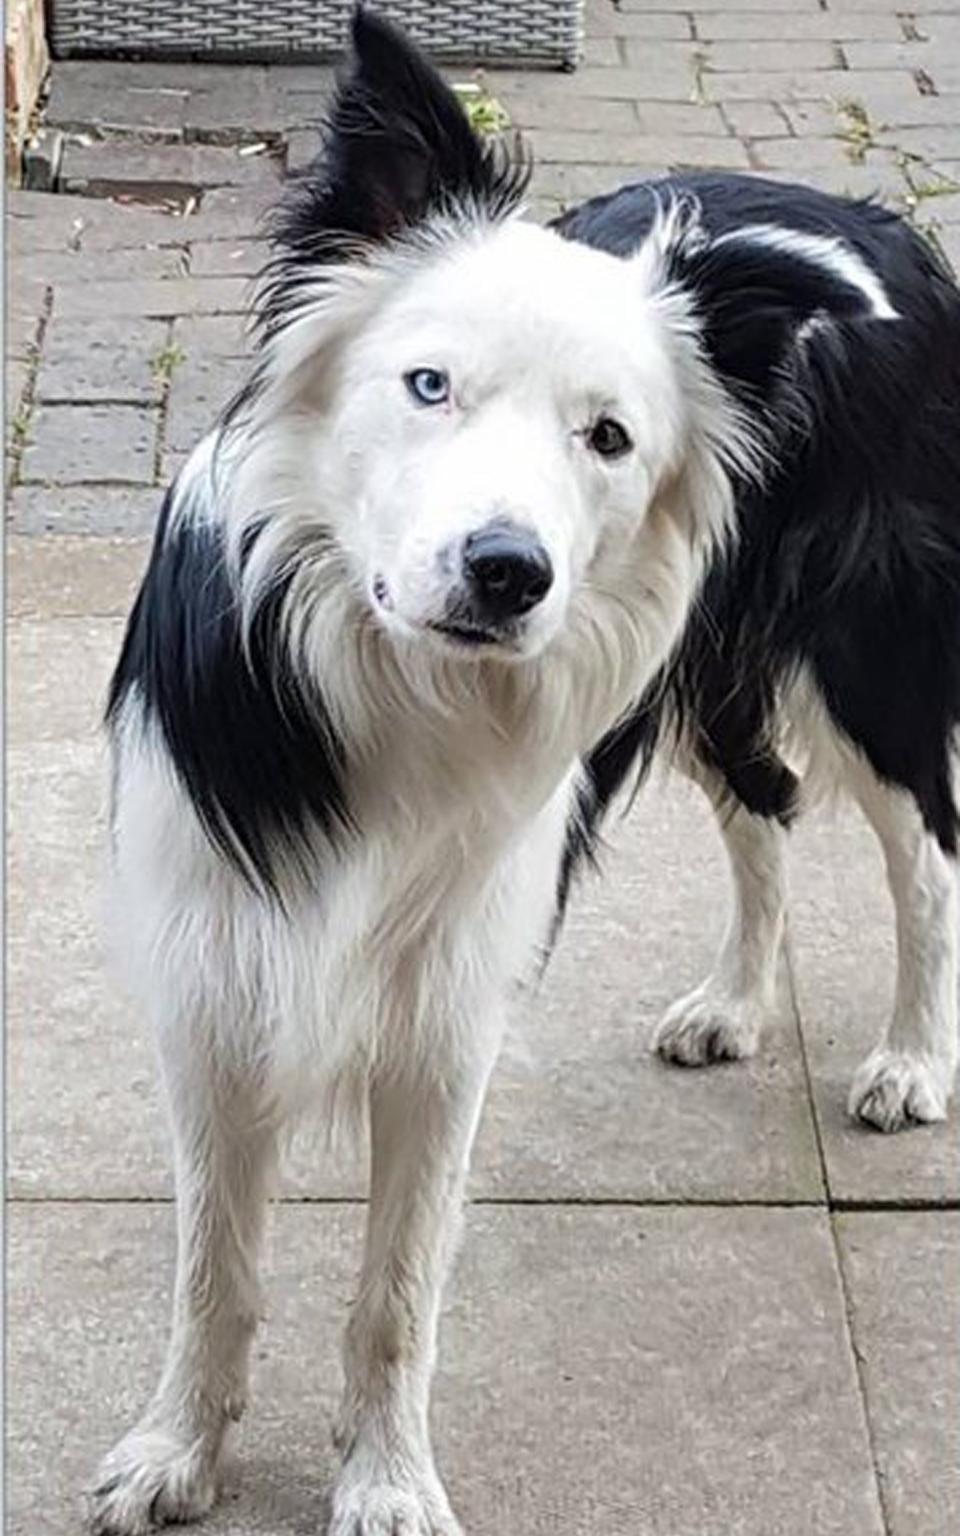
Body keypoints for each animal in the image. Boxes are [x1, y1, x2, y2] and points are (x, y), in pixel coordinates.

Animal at [89, 12, 958, 1536]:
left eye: (607, 437)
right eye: (428, 384)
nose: (509, 574)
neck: (392, 687)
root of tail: (870, 221)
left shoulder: (445, 1020)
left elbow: (396, 1291)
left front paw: (384, 1481)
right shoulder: (212, 987)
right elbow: (212, 1267)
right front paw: (179, 1449)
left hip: (876, 663)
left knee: (927, 858)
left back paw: (913, 1058)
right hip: (704, 669)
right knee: (765, 815)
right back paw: (735, 1002)